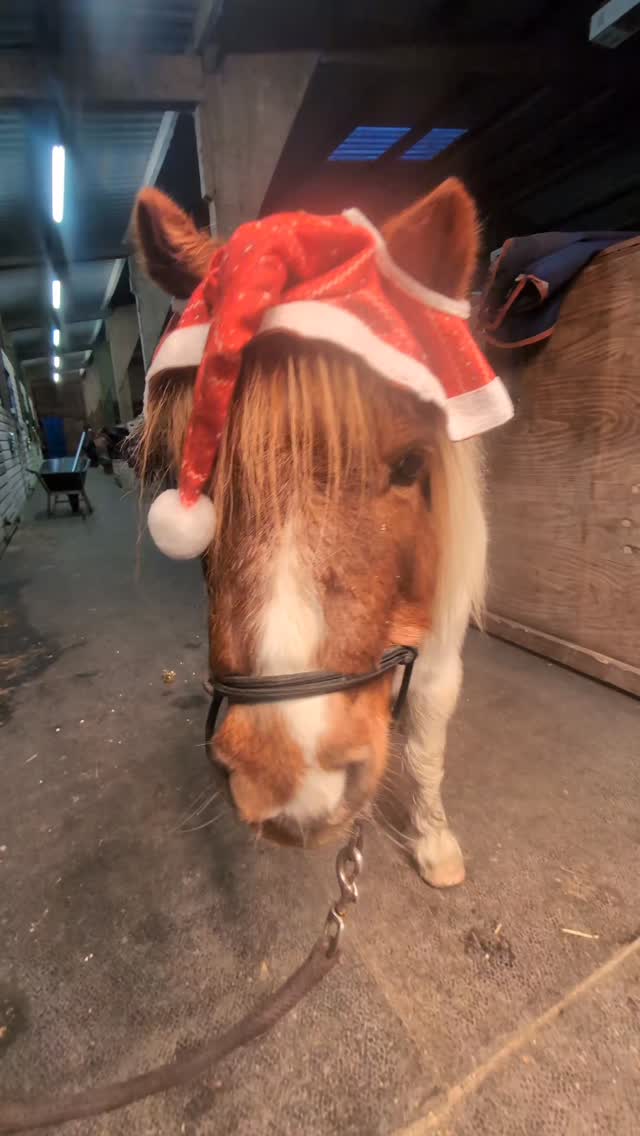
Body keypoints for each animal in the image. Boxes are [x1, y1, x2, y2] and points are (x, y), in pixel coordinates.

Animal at [132, 179, 508, 888]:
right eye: (179, 472)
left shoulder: (443, 626)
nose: (290, 778)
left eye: (410, 464)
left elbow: (426, 733)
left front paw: (434, 841)